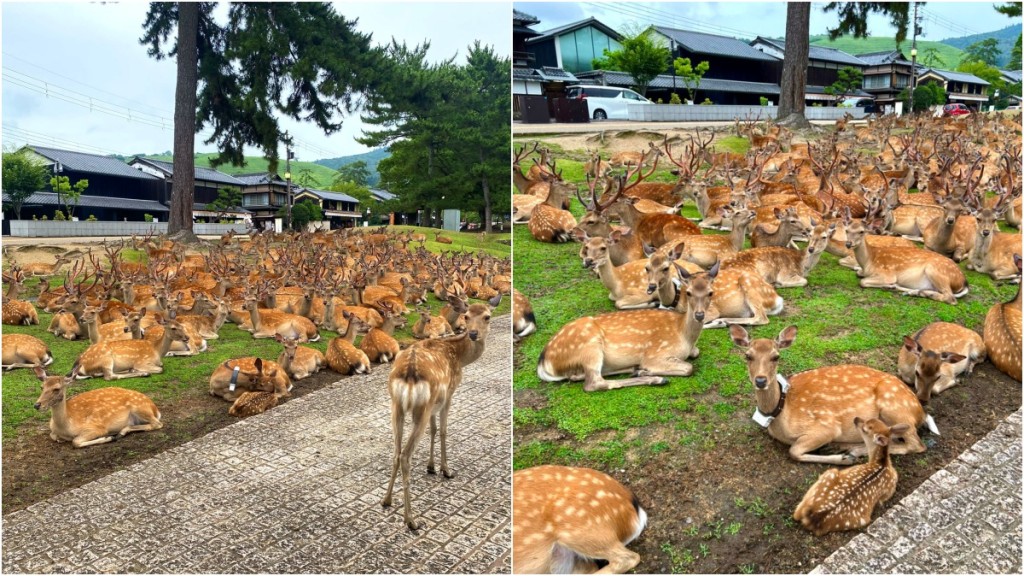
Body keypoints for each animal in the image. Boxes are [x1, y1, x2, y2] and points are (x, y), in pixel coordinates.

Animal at [380, 293, 499, 528]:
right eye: (466, 315)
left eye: (487, 316)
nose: (473, 333)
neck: (459, 358)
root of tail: (408, 373)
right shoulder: (449, 393)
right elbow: (443, 430)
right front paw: (446, 470)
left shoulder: (435, 403)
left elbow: (434, 430)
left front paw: (431, 467)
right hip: (421, 407)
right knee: (405, 455)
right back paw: (411, 520)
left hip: (396, 406)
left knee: (396, 452)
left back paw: (387, 500)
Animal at [540, 261, 716, 387]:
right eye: (688, 293)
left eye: (710, 292)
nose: (699, 315)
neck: (684, 335)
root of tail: (544, 361)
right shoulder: (654, 353)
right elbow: (689, 368)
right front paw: (647, 371)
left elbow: (696, 352)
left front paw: (642, 371)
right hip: (589, 347)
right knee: (595, 383)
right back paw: (655, 378)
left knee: (578, 376)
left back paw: (635, 369)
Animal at [729, 323, 929, 461]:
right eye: (747, 356)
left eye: (776, 356)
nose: (760, 380)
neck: (780, 413)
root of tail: (920, 413)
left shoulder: (826, 426)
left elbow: (793, 451)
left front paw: (844, 459)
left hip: (894, 408)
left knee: (916, 445)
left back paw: (851, 451)